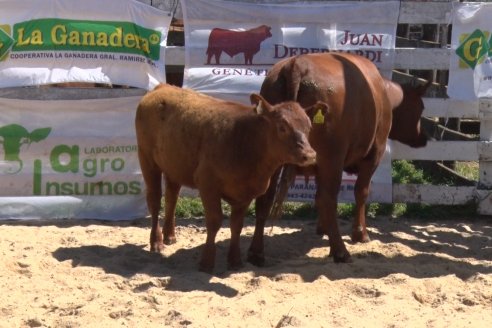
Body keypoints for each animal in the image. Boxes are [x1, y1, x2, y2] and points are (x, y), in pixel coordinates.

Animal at [135, 83, 318, 272]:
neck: (245, 141)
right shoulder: (208, 185)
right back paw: (156, 242)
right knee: (155, 200)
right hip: (147, 159)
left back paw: (170, 236)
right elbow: (214, 221)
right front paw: (207, 262)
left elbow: (236, 226)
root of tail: (162, 87)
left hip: (174, 166)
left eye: (309, 127)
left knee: (171, 197)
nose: (310, 155)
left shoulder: (246, 193)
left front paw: (235, 261)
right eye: (282, 127)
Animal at [248, 52, 428, 266]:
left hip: (275, 159)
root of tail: (297, 64)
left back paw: (256, 253)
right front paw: (360, 234)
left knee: (265, 197)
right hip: (332, 158)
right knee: (329, 198)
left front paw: (323, 228)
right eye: (421, 108)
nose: (424, 138)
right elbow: (361, 192)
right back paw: (340, 251)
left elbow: (317, 196)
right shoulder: (373, 155)